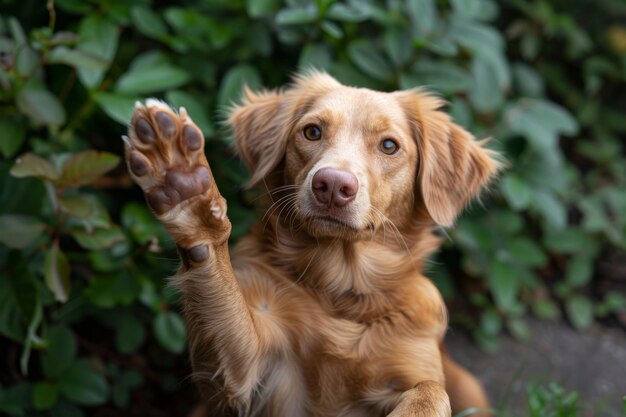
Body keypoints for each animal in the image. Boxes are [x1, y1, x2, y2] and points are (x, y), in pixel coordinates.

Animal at [124, 72, 500, 416]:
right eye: (313, 132)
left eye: (389, 145)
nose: (332, 185)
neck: (342, 291)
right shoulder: (248, 377)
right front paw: (185, 187)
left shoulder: (414, 366)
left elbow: (431, 391)